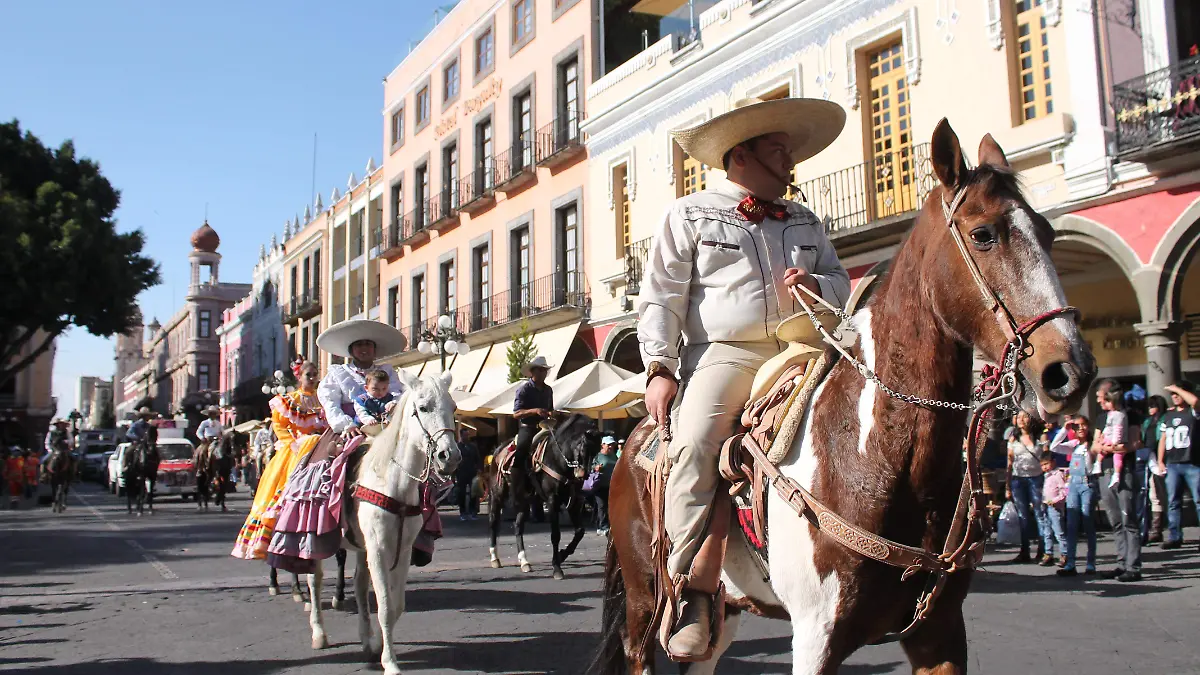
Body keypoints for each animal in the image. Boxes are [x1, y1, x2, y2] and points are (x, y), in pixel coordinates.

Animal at [302, 367, 460, 672]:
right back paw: (318, 633)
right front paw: (391, 663)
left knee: (359, 585)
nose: (450, 456)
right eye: (423, 407)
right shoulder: (377, 548)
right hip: (316, 537)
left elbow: (395, 606)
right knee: (314, 579)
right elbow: (385, 606)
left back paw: (367, 641)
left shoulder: (403, 548)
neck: (392, 481)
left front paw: (380, 649)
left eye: (454, 407)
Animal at [487, 410, 600, 578]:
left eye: (597, 450)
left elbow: (580, 531)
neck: (558, 460)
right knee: (494, 522)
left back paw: (524, 561)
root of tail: (498, 450)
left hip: (525, 501)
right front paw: (557, 568)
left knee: (518, 526)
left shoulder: (574, 501)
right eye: (583, 446)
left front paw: (562, 555)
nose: (583, 475)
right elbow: (555, 535)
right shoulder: (553, 500)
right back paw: (495, 558)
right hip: (498, 494)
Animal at [590, 121, 1099, 672]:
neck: (876, 453)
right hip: (644, 600)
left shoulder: (940, 631)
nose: (1069, 371)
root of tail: (634, 437)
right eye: (984, 234)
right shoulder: (817, 637)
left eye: (1047, 233)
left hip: (728, 610)